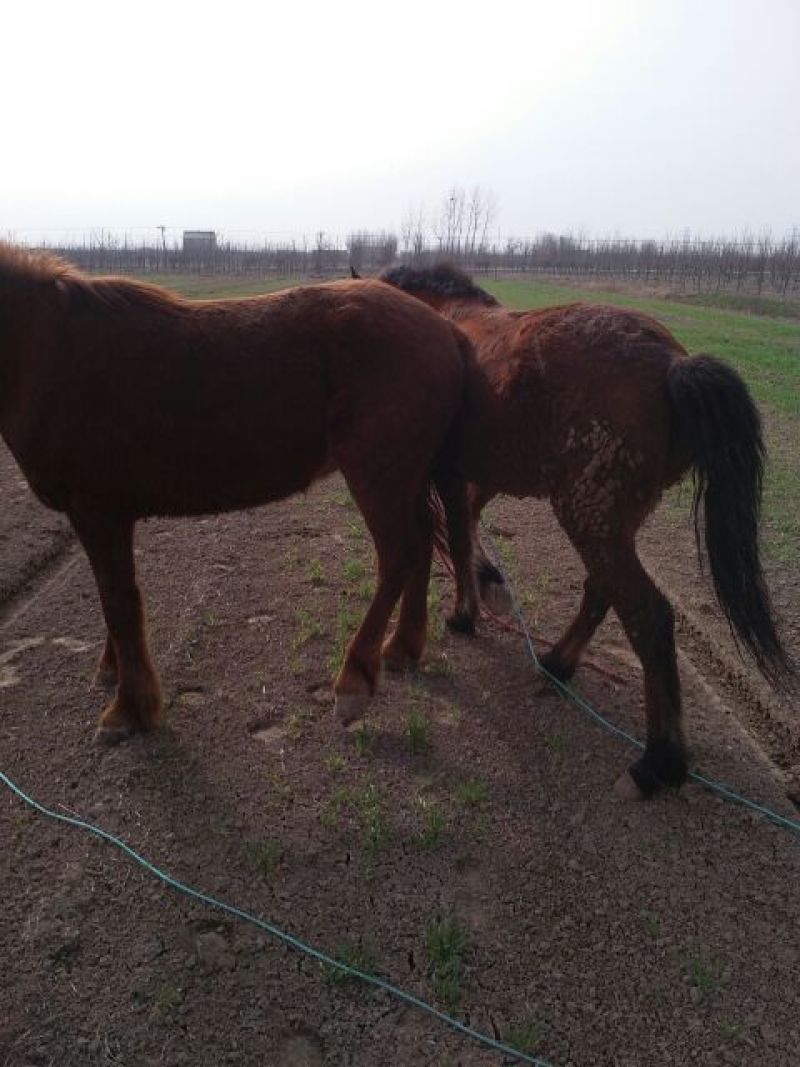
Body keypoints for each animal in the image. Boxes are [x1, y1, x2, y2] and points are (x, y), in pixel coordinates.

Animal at [0, 245, 480, 743]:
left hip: (378, 475)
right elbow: (115, 596)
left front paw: (129, 707)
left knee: (399, 555)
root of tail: (444, 326)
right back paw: (402, 646)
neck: (50, 348)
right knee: (422, 543)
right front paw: (114, 673)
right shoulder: (104, 516)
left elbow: (118, 600)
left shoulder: (96, 510)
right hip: (407, 476)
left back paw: (354, 681)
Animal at [372, 263, 792, 799]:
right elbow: (468, 529)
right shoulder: (479, 478)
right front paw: (486, 587)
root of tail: (674, 363)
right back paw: (558, 664)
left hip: (589, 516)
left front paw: (465, 613)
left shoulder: (446, 472)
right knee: (602, 590)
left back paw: (658, 761)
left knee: (647, 613)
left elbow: (460, 537)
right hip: (608, 522)